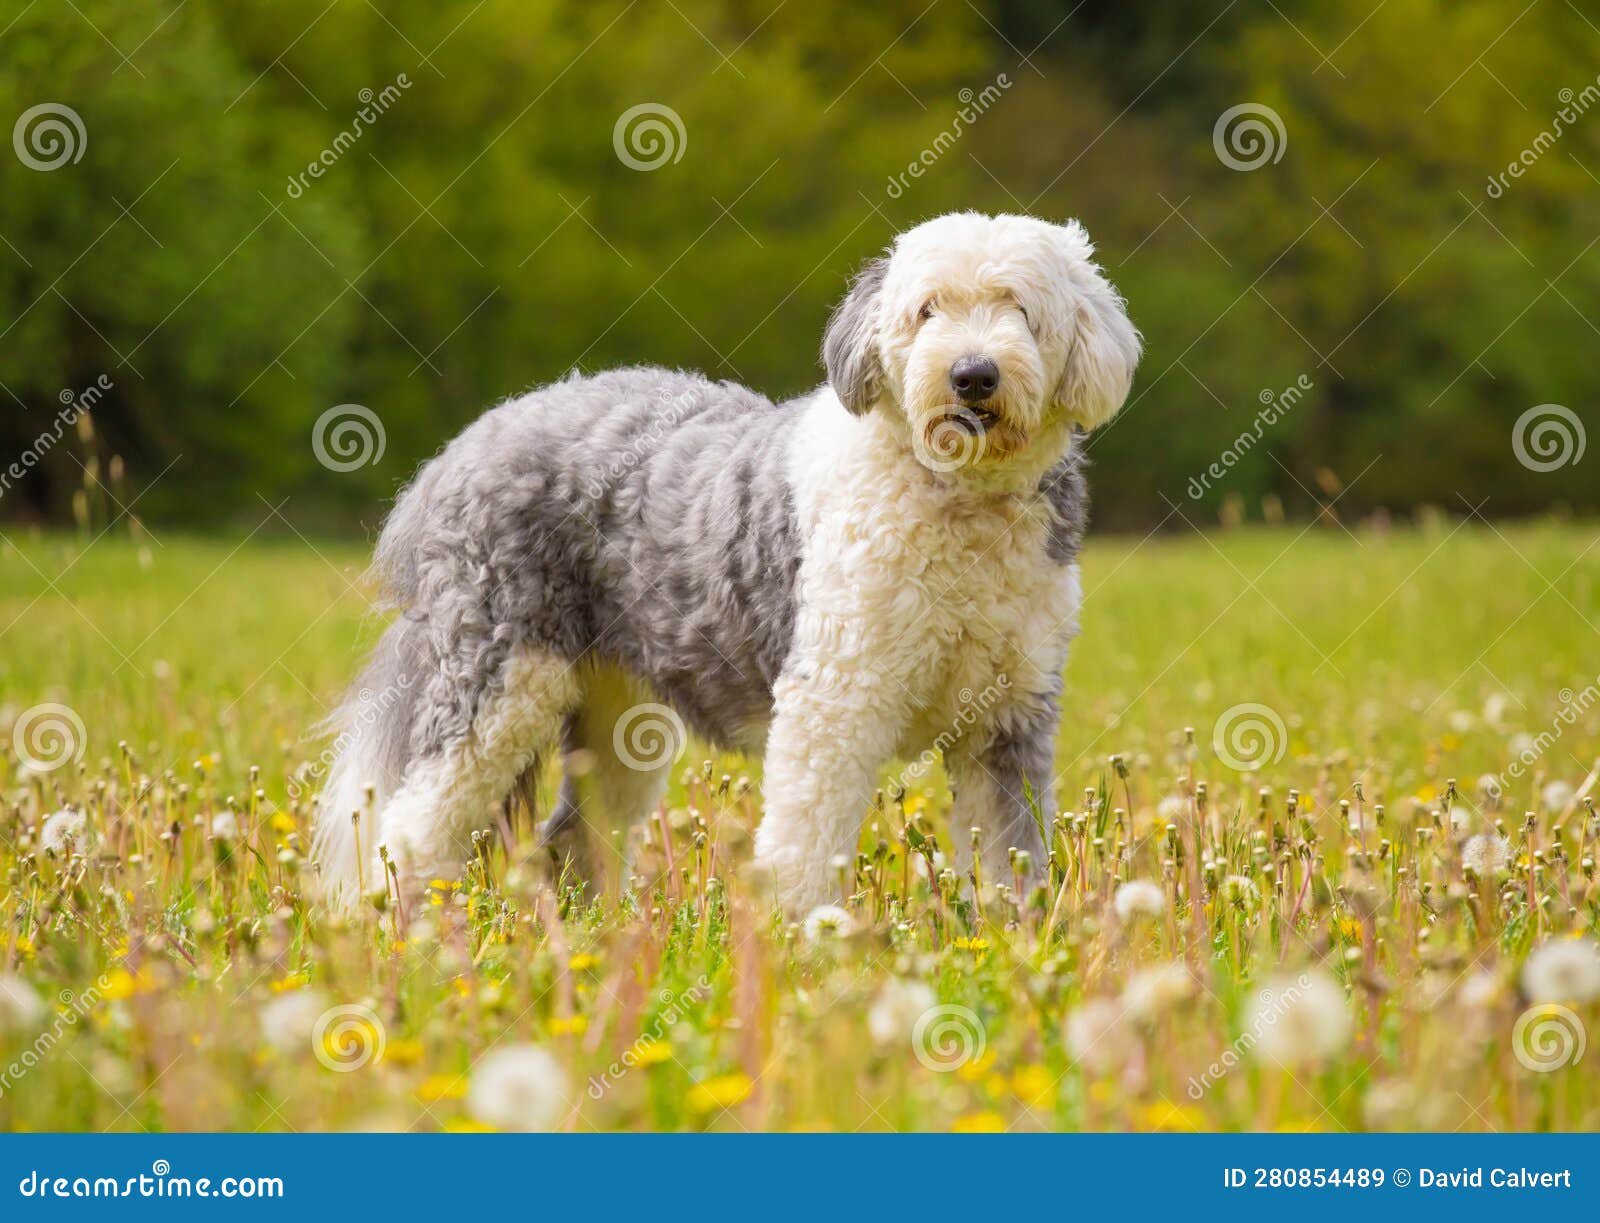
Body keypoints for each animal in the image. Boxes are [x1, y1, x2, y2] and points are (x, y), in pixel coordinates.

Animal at [312, 212, 1139, 915]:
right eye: (926, 309)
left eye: (1020, 309)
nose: (972, 375)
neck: (955, 497)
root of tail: (460, 448)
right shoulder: (835, 700)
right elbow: (805, 841)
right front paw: (806, 942)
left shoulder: (1009, 715)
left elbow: (1007, 854)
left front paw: (1010, 940)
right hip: (497, 675)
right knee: (413, 824)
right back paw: (403, 930)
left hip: (617, 711)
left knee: (574, 835)